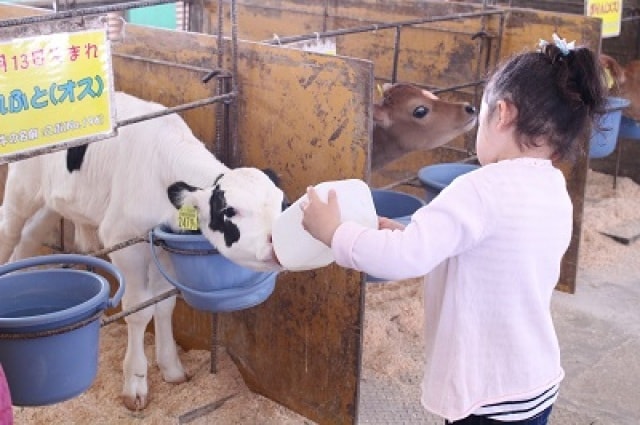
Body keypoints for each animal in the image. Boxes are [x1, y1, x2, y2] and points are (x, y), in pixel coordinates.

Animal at [0, 91, 282, 410]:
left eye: (281, 203)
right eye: (230, 211)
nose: (279, 242)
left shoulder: (164, 246)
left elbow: (164, 303)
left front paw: (171, 367)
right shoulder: (125, 241)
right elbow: (139, 310)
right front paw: (135, 383)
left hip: (53, 199)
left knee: (28, 236)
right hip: (21, 186)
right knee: (8, 232)